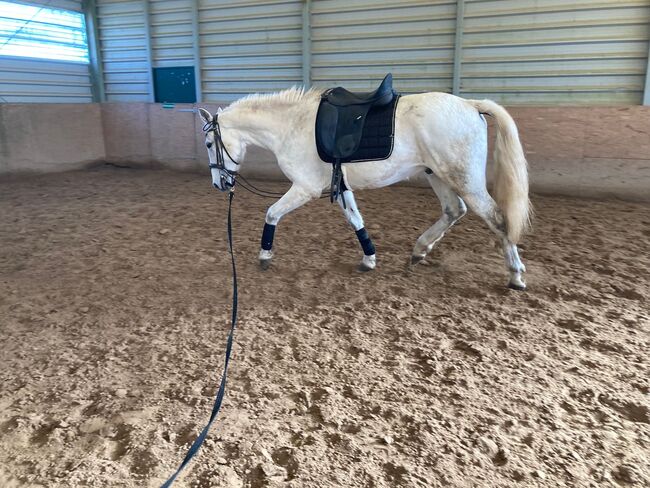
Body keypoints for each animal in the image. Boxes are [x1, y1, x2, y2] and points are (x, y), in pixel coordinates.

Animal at [196, 86, 528, 290]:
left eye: (210, 144)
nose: (218, 183)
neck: (291, 125)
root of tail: (471, 105)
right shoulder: (341, 187)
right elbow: (356, 220)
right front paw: (369, 259)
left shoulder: (305, 188)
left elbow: (271, 213)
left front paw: (265, 256)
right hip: (437, 174)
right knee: (453, 210)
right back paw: (419, 251)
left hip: (463, 178)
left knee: (497, 219)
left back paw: (515, 275)